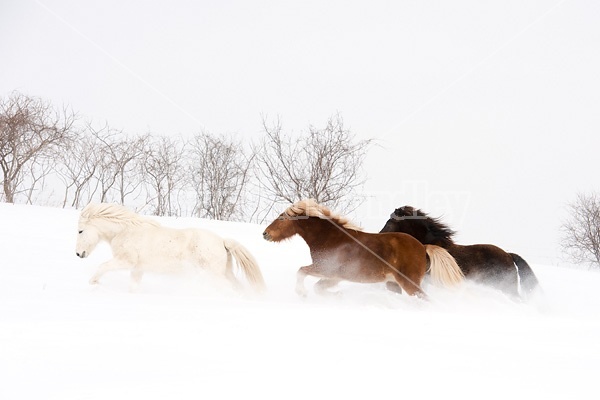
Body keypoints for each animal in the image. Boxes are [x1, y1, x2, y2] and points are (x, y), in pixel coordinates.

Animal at [74, 205, 264, 292]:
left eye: (80, 231)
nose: (78, 254)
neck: (125, 231)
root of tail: (222, 241)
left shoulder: (126, 261)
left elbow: (103, 266)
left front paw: (94, 282)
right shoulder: (138, 269)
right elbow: (133, 285)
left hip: (213, 275)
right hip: (225, 272)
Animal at [262, 198, 464, 298]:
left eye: (282, 217)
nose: (265, 234)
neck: (330, 238)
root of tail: (423, 246)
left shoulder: (326, 268)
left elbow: (301, 271)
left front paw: (301, 293)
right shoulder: (334, 276)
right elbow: (319, 288)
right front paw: (336, 295)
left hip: (409, 283)